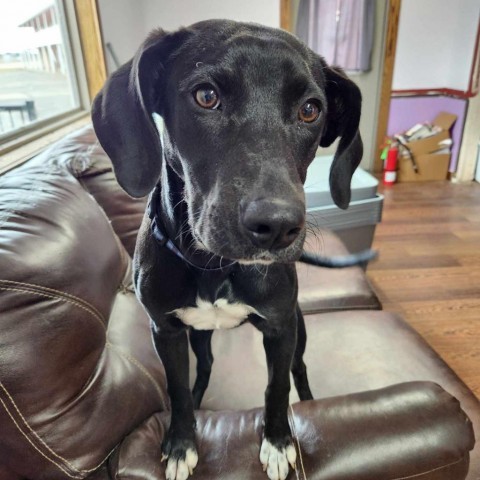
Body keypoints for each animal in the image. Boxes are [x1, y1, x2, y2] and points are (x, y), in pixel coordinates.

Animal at [92, 19, 362, 480]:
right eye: (206, 96)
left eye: (311, 109)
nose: (277, 227)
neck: (214, 267)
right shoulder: (165, 330)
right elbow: (177, 389)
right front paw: (181, 443)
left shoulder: (280, 327)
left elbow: (276, 386)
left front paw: (278, 441)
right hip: (198, 335)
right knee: (203, 368)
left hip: (298, 326)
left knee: (299, 368)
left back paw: (310, 403)